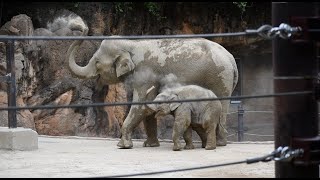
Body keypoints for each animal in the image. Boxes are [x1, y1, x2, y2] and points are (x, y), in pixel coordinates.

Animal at [67, 18, 238, 149]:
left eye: (97, 62)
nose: (80, 26)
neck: (131, 44)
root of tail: (231, 59)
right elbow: (148, 108)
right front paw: (150, 145)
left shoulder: (145, 75)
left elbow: (141, 105)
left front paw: (123, 145)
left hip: (220, 79)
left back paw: (219, 144)